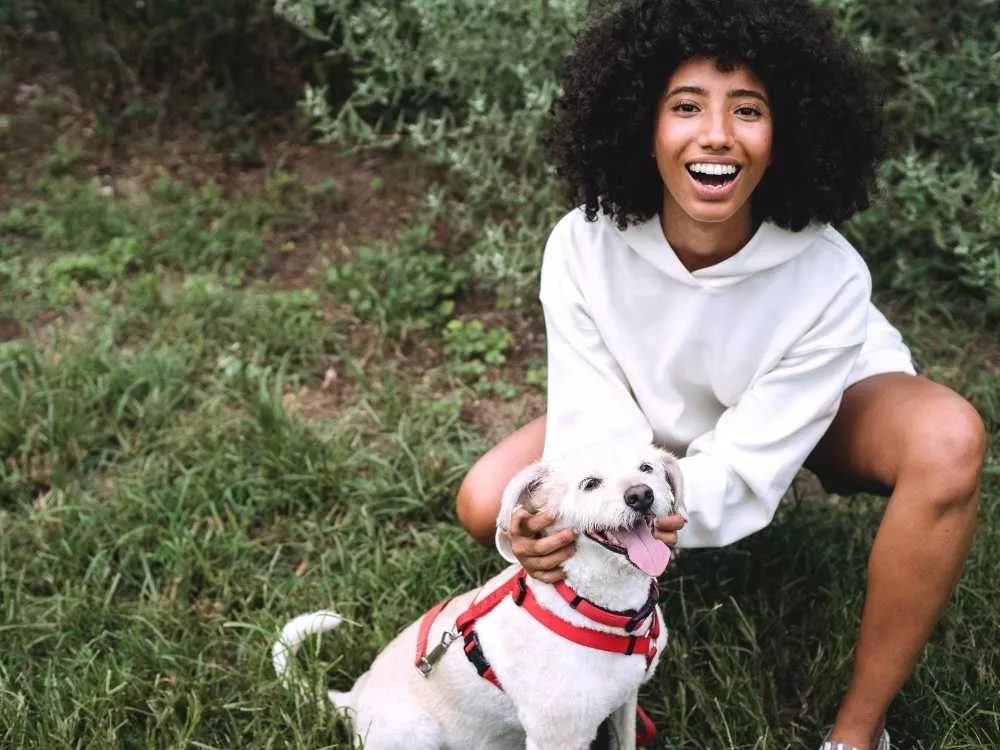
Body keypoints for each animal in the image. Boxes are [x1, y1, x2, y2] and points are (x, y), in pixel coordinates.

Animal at [270, 444, 684, 748]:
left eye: (647, 468)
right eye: (590, 483)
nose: (641, 495)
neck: (601, 609)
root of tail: (353, 700)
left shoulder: (625, 703)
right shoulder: (558, 738)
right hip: (415, 735)